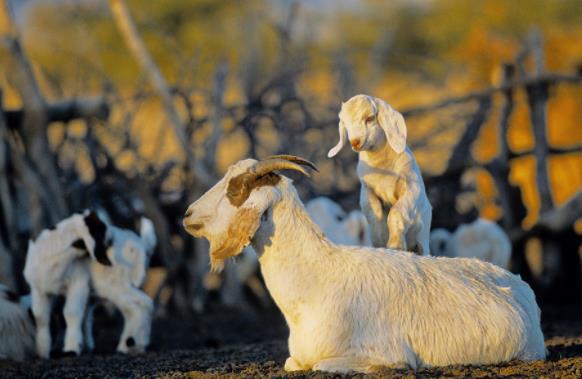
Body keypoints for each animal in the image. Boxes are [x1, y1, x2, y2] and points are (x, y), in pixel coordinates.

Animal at [23, 211, 155, 360]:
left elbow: (71, 313)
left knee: (142, 305)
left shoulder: (78, 282)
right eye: (102, 229)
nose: (113, 239)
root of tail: (142, 246)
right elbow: (41, 317)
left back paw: (131, 346)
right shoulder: (38, 288)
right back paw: (131, 345)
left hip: (114, 285)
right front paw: (42, 353)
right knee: (134, 308)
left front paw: (71, 349)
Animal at [184, 157, 548, 374]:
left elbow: (321, 367)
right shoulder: (295, 358)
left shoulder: (387, 354)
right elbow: (292, 364)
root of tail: (520, 286)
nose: (187, 215)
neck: (316, 281)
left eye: (235, 189)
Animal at [328, 94, 434, 256]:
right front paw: (381, 245)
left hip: (424, 241)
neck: (383, 168)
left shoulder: (411, 187)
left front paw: (396, 245)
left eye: (370, 118)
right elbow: (375, 217)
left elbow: (396, 212)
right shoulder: (367, 192)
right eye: (345, 123)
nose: (355, 142)